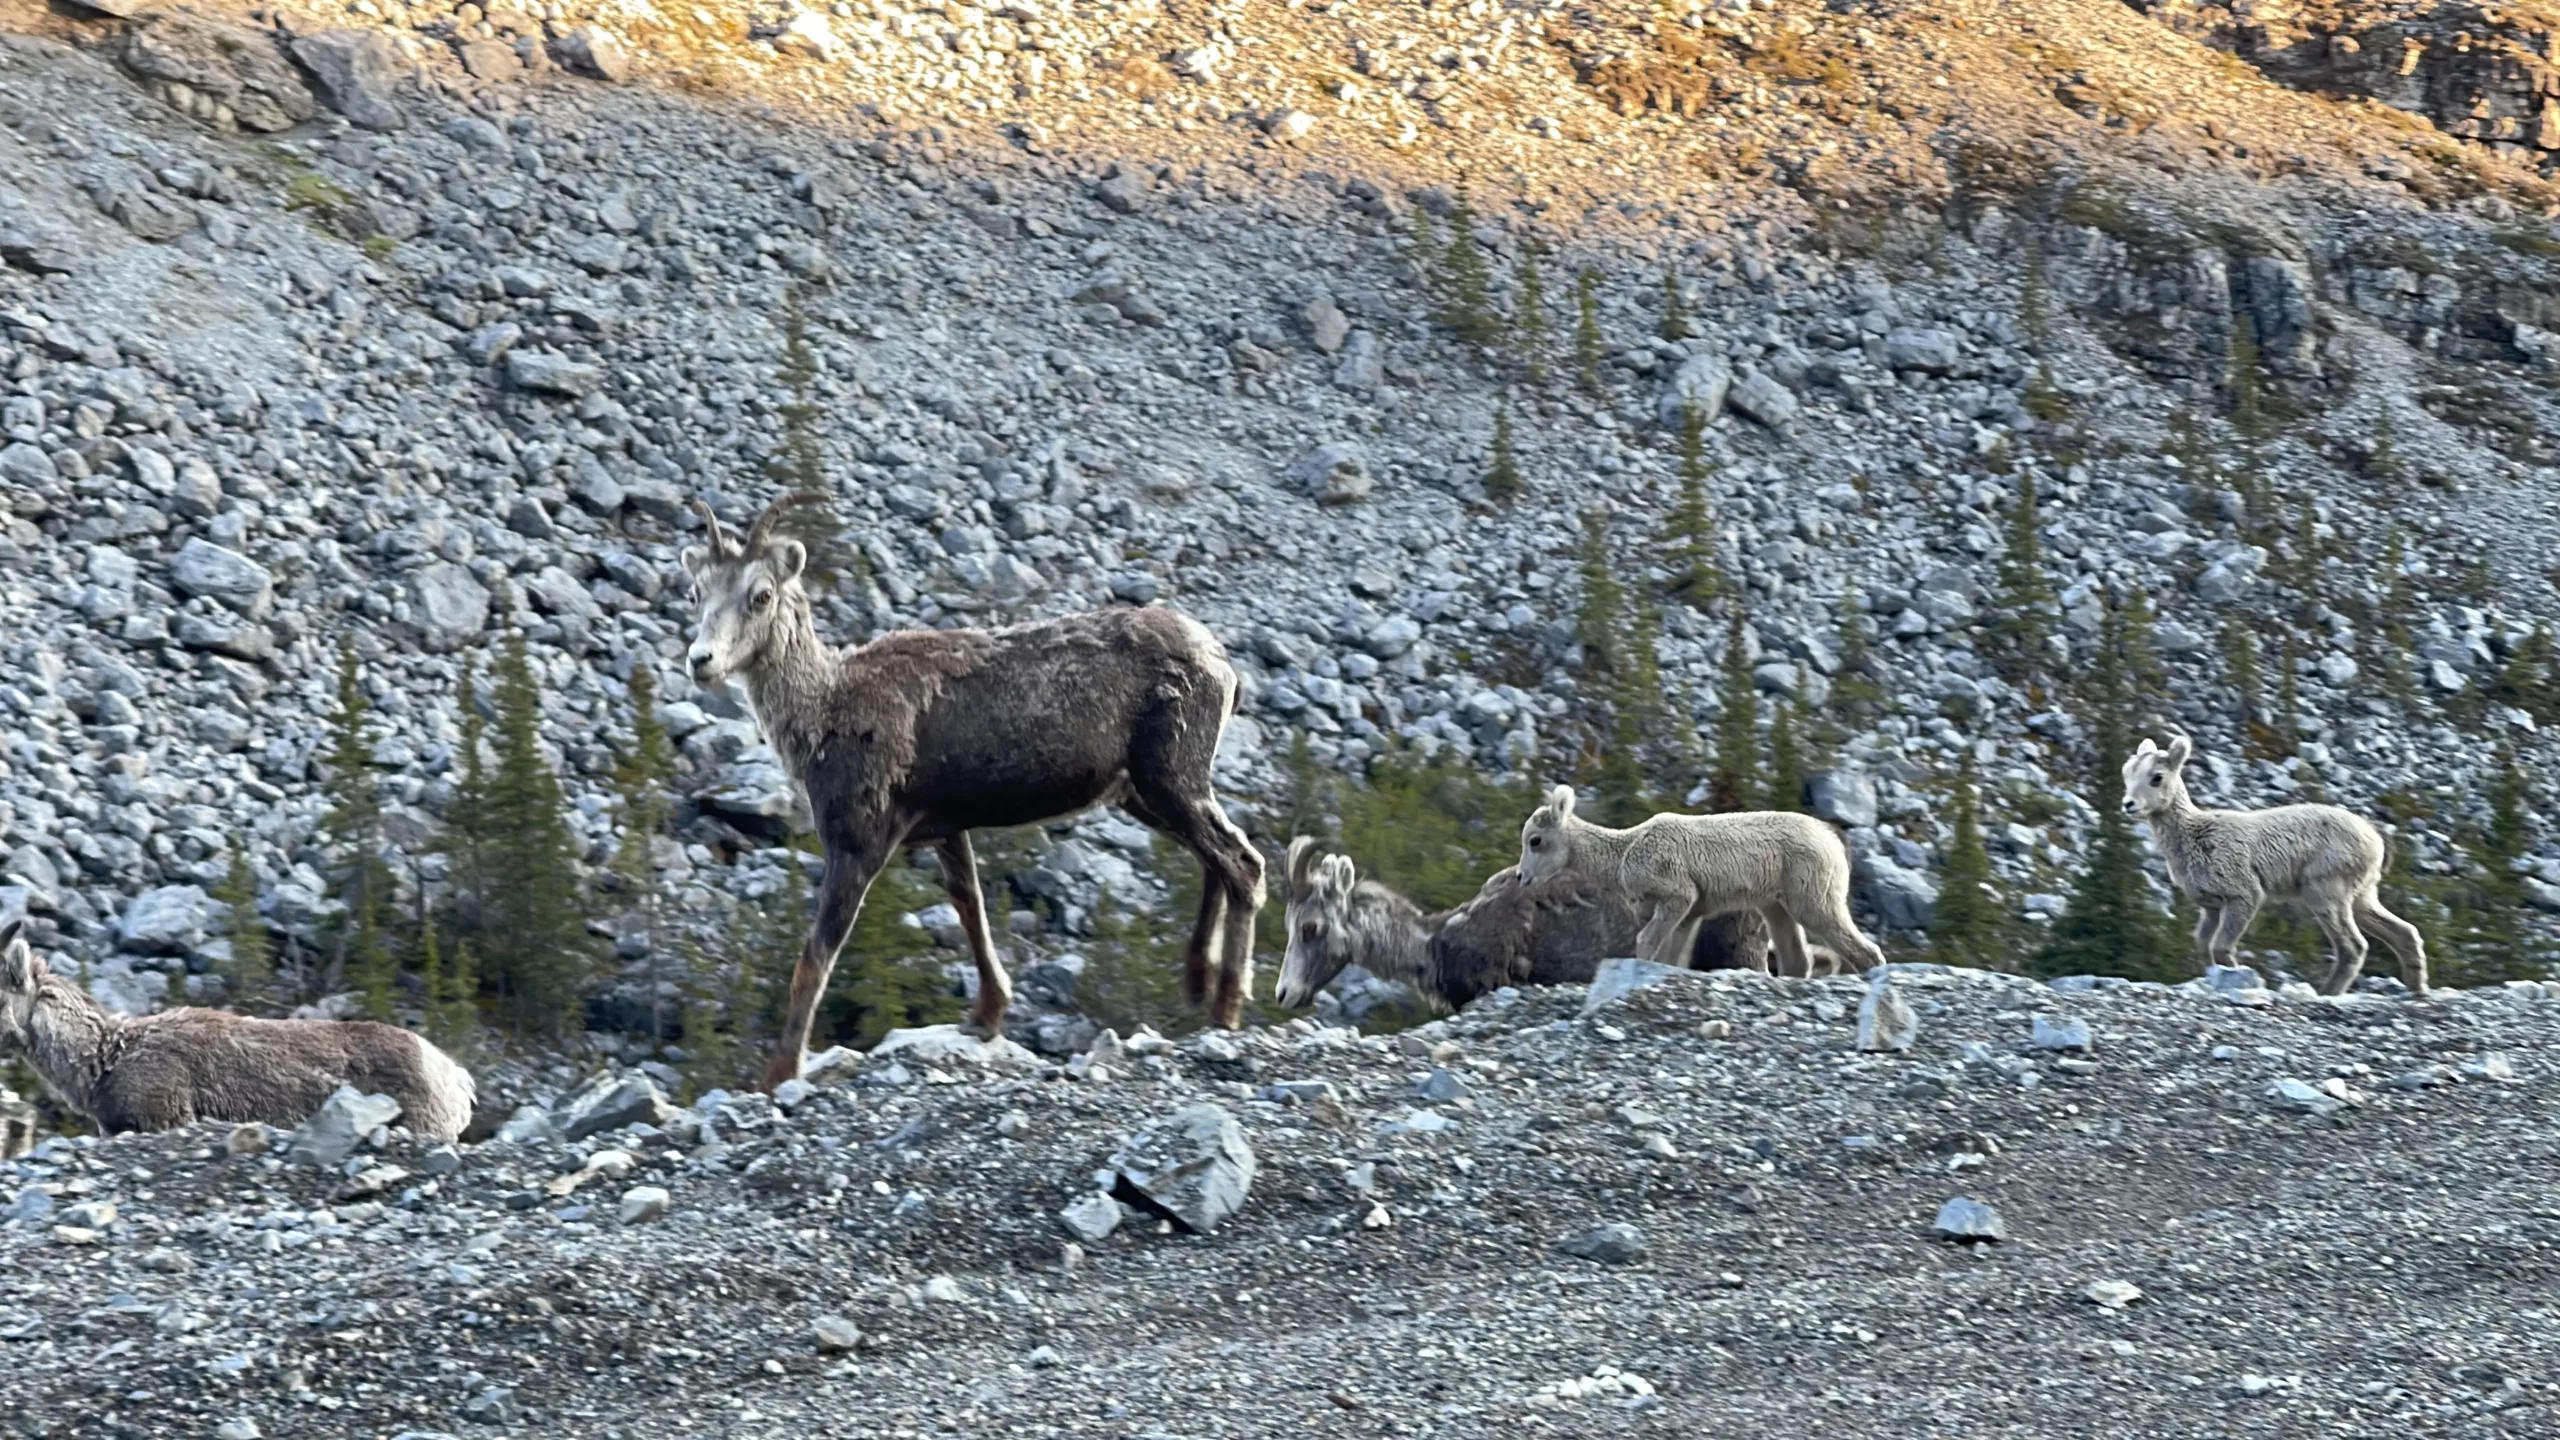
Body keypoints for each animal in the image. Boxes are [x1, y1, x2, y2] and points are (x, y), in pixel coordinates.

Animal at [1505, 784, 1894, 973]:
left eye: (1535, 840)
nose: (1522, 876)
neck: (1623, 857)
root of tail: (1833, 840)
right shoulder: (1691, 912)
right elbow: (1673, 957)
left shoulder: (1677, 894)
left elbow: (1647, 943)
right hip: (1776, 905)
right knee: (1798, 959)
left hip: (1812, 897)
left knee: (1862, 949)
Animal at [2129, 732, 2426, 994]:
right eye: (2127, 773)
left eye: (2156, 777)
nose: (2128, 804)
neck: (2193, 836)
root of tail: (2376, 840)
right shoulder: (2211, 906)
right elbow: (2204, 947)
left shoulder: (2245, 895)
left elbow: (2221, 948)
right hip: (2362, 896)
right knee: (2403, 933)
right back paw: (2417, 990)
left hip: (2325, 892)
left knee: (2353, 947)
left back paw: (2328, 993)